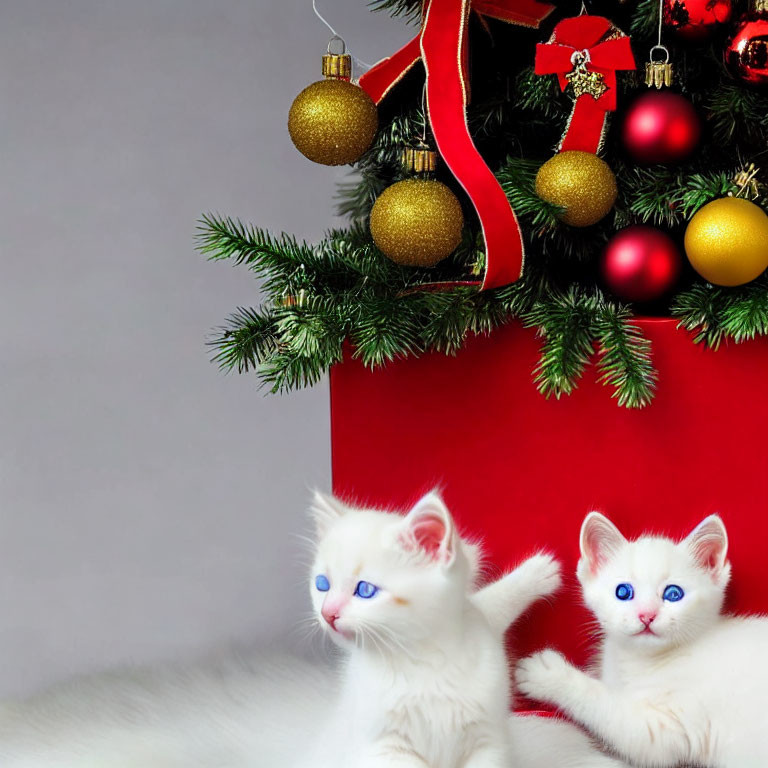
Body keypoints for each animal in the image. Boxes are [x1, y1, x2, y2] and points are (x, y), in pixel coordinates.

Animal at [516, 510, 768, 768]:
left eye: (673, 594)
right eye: (623, 592)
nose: (647, 615)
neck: (641, 662)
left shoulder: (667, 729)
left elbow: (607, 706)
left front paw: (548, 675)